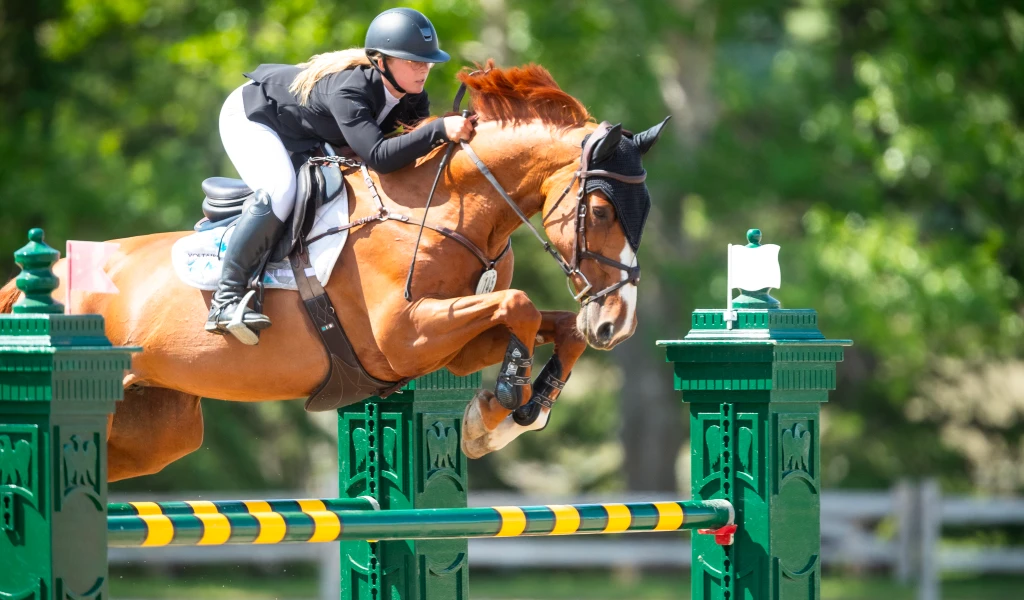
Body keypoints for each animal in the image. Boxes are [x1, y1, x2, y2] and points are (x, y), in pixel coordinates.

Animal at [0, 62, 667, 479]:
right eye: (601, 210)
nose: (618, 323)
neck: (446, 207)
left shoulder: (445, 346)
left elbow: (556, 327)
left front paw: (514, 412)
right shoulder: (405, 336)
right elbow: (521, 306)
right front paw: (502, 404)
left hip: (154, 427)